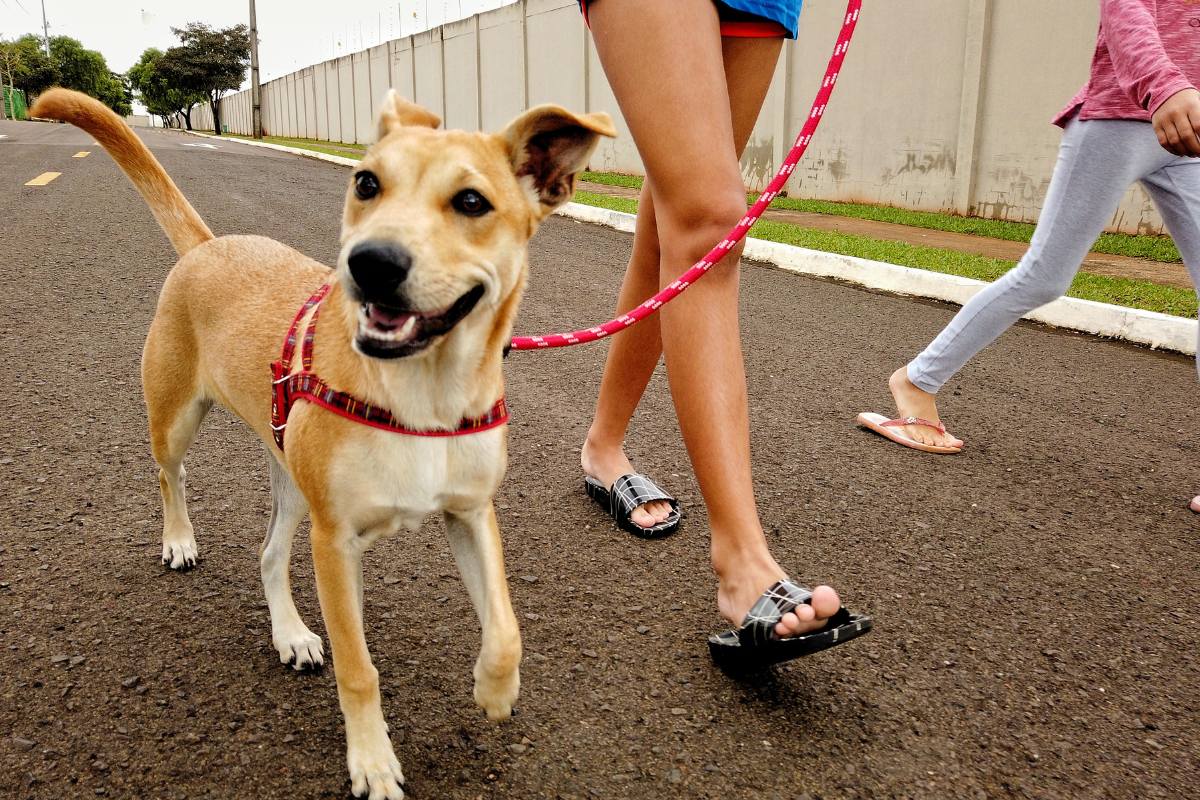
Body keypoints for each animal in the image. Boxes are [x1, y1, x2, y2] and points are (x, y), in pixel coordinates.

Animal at [32, 87, 614, 800]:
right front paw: (372, 761)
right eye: (366, 183)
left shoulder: (470, 513)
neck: (425, 394)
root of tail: (208, 246)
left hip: (290, 476)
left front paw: (495, 689)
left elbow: (505, 626)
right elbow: (358, 667)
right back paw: (179, 540)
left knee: (267, 554)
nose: (370, 263)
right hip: (176, 418)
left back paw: (291, 634)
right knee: (171, 475)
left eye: (472, 202)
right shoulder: (336, 542)